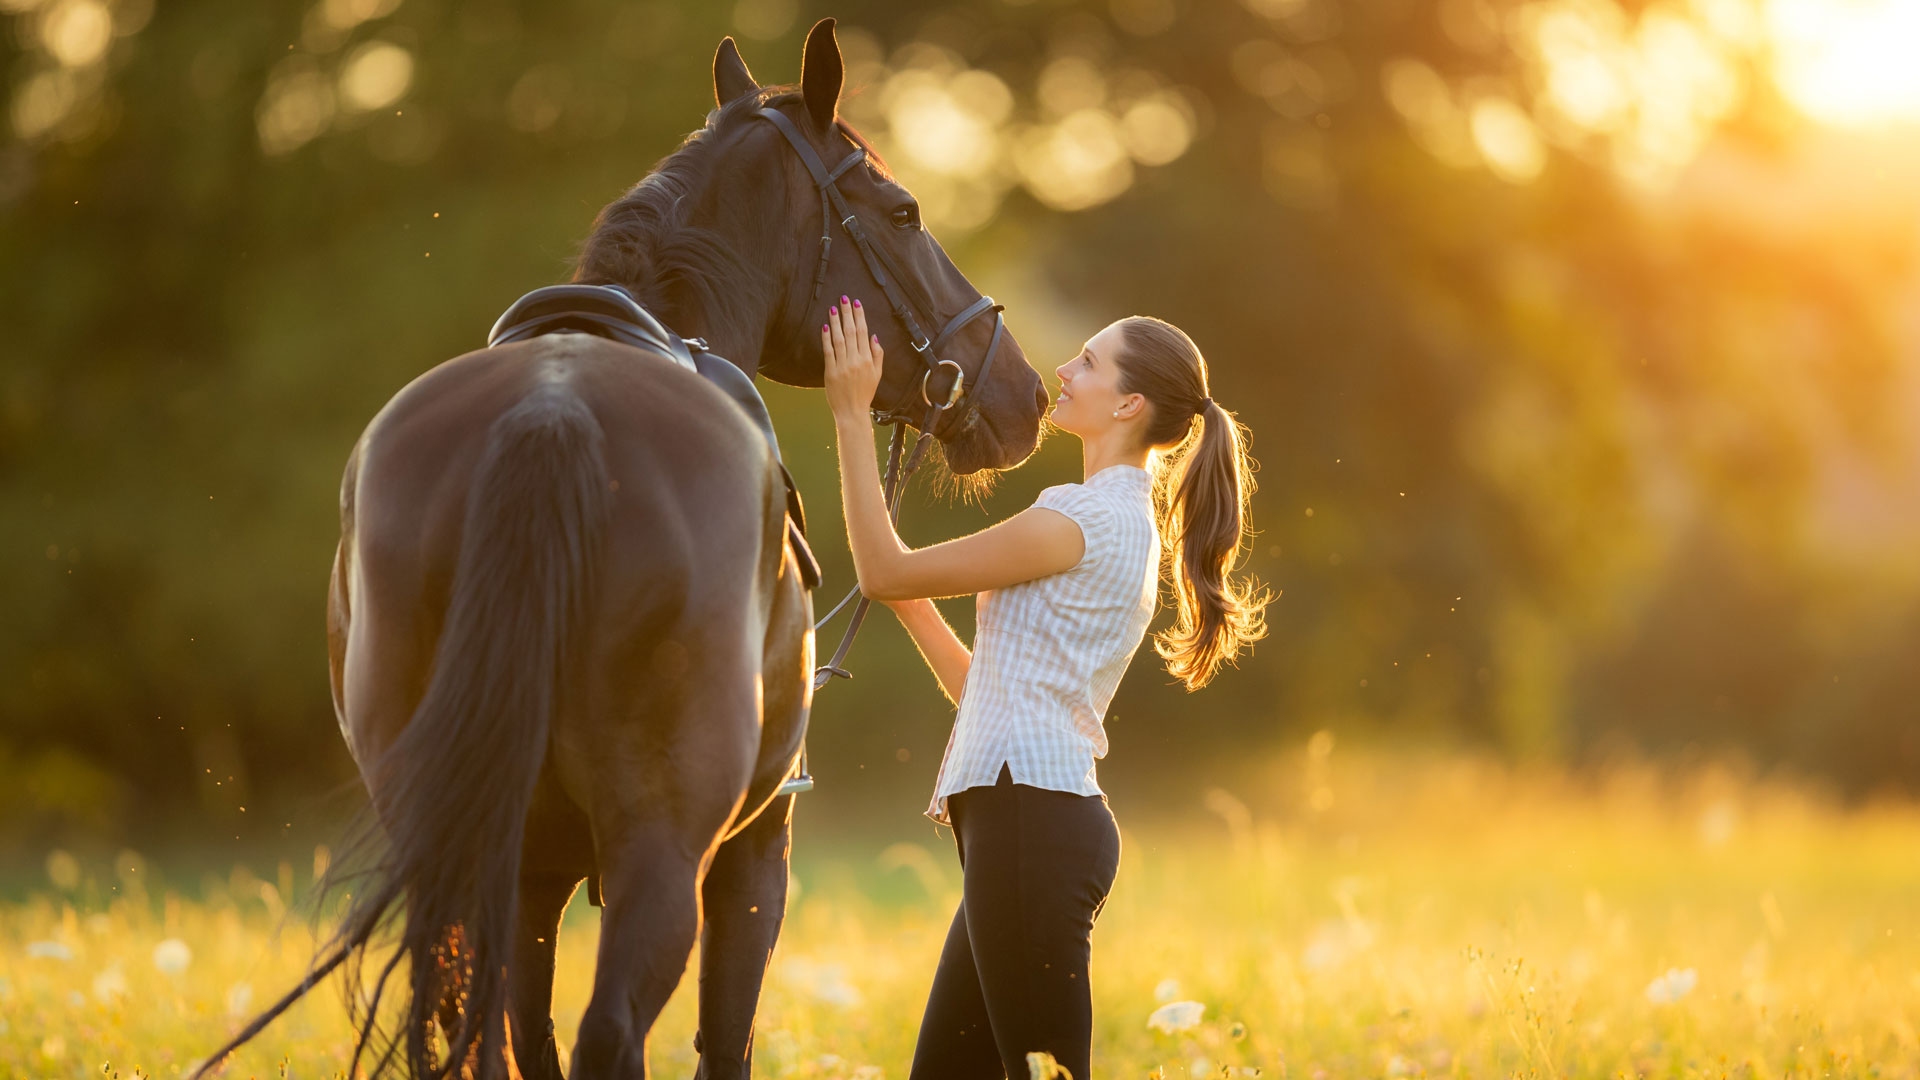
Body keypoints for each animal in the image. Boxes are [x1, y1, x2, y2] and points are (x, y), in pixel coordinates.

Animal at [204, 18, 1052, 1076]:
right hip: (662, 851)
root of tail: (551, 412)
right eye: (902, 213)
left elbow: (527, 1036)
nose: (1024, 394)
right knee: (612, 1032)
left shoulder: (532, 876)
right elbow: (719, 1040)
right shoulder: (755, 851)